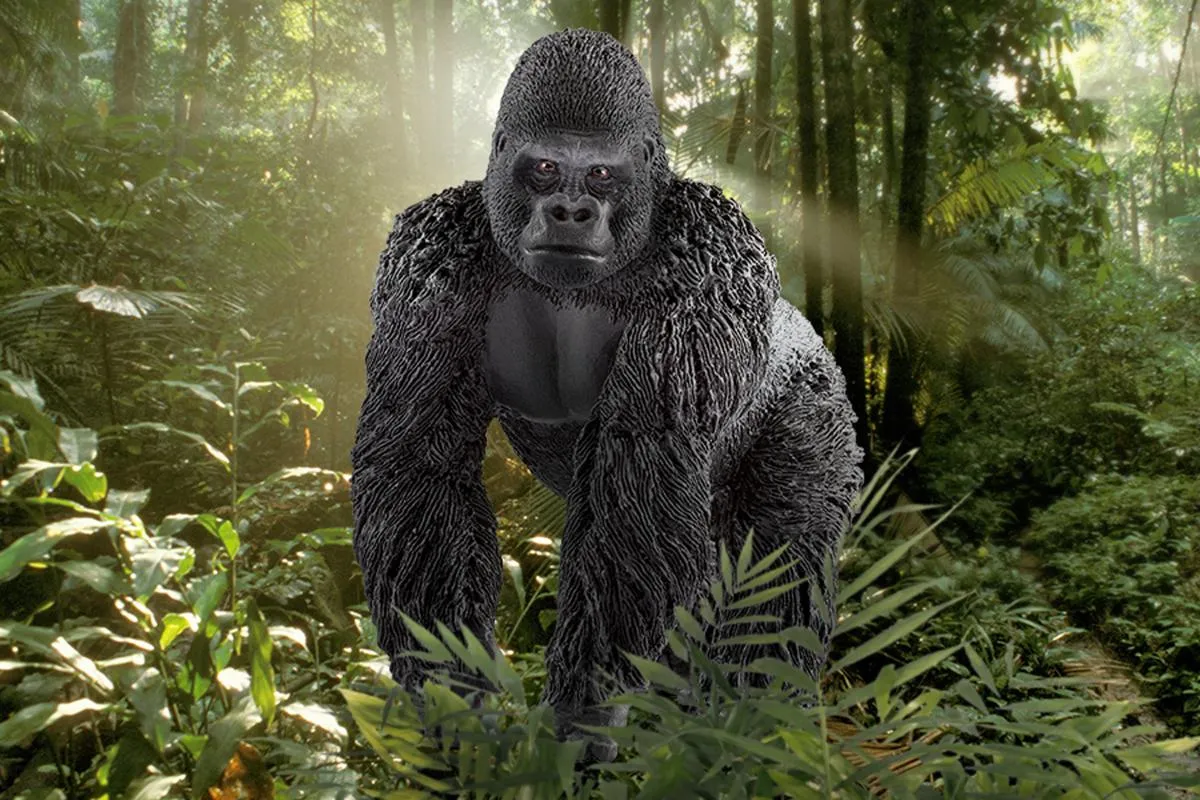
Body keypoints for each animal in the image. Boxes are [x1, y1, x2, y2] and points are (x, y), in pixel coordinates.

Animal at [351, 28, 864, 763]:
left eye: (599, 175)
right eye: (543, 169)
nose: (571, 211)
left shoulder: (710, 251)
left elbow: (644, 467)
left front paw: (583, 712)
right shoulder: (426, 255)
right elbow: (420, 467)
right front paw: (456, 694)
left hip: (816, 403)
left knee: (776, 577)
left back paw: (754, 735)